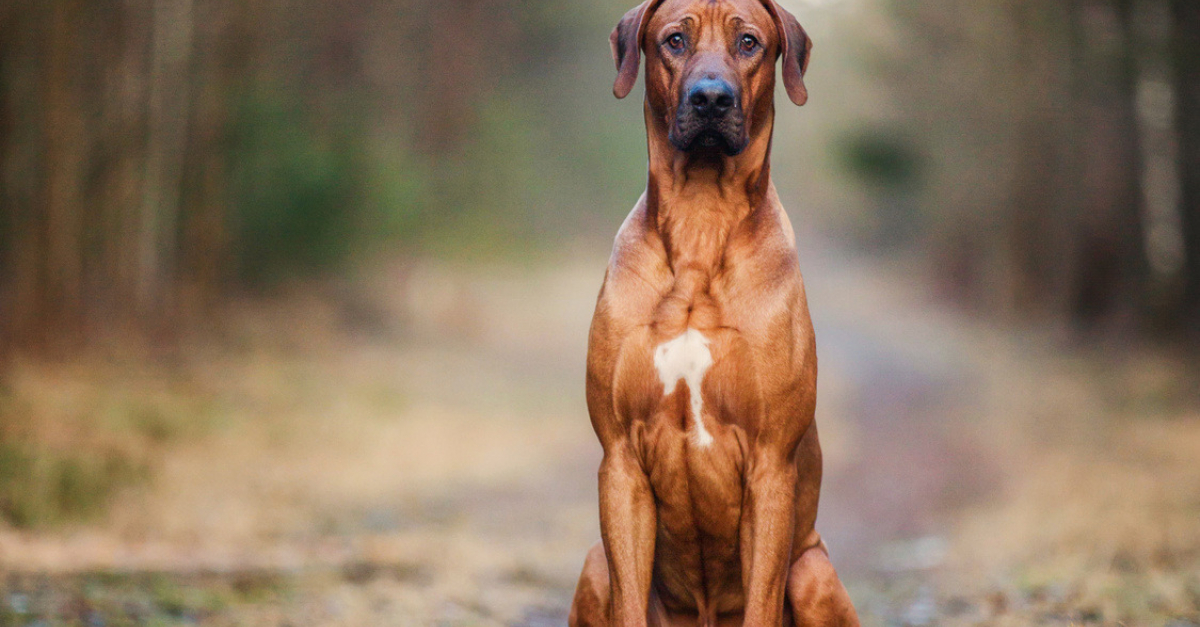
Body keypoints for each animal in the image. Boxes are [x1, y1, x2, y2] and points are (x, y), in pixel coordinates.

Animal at [566, 1, 859, 624]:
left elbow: (762, 600)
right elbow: (629, 597)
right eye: (674, 40)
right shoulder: (620, 462)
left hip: (812, 571)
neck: (701, 221)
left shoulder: (771, 467)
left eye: (748, 42)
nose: (710, 98)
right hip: (594, 563)